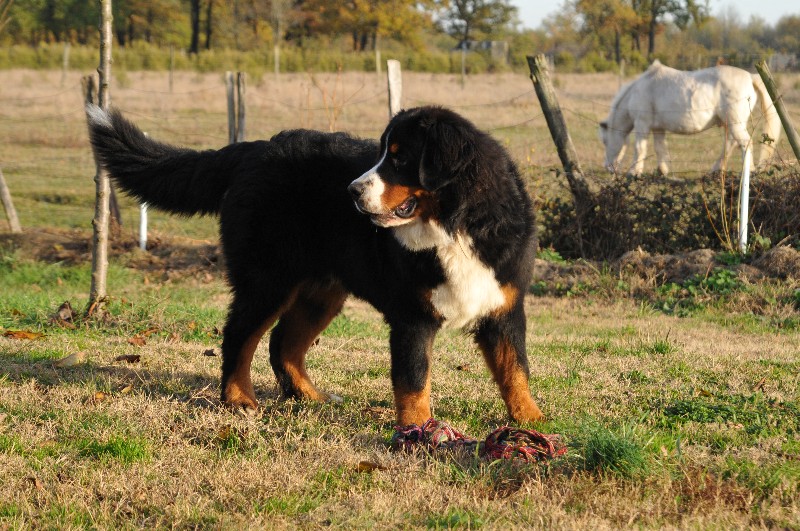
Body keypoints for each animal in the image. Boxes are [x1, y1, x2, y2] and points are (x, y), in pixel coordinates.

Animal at [84, 105, 540, 428]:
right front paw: (418, 430)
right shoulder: (413, 317)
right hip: (267, 280)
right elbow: (414, 381)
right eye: (381, 155)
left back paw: (310, 396)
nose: (352, 191)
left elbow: (514, 369)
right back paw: (238, 400)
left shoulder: (503, 308)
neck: (456, 226)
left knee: (283, 344)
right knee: (239, 337)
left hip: (319, 292)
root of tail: (253, 149)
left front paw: (531, 420)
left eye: (400, 159)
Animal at [600, 60, 780, 177]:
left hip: (735, 123)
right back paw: (716, 170)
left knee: (744, 143)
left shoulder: (642, 124)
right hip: (730, 124)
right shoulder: (658, 128)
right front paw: (663, 170)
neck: (639, 89)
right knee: (730, 144)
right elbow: (660, 148)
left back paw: (748, 172)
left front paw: (634, 172)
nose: (608, 168)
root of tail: (750, 76)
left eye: (605, 141)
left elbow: (639, 148)